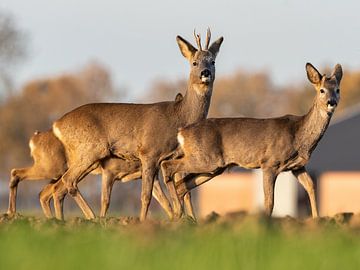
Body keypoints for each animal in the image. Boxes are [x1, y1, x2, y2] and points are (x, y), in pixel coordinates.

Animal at [161, 62, 344, 217]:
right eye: (322, 90)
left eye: (337, 89)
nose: (332, 102)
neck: (299, 136)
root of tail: (182, 132)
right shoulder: (270, 163)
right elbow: (269, 202)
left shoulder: (297, 166)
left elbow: (311, 187)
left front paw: (317, 221)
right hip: (205, 159)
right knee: (167, 166)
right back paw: (177, 214)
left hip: (212, 168)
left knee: (181, 186)